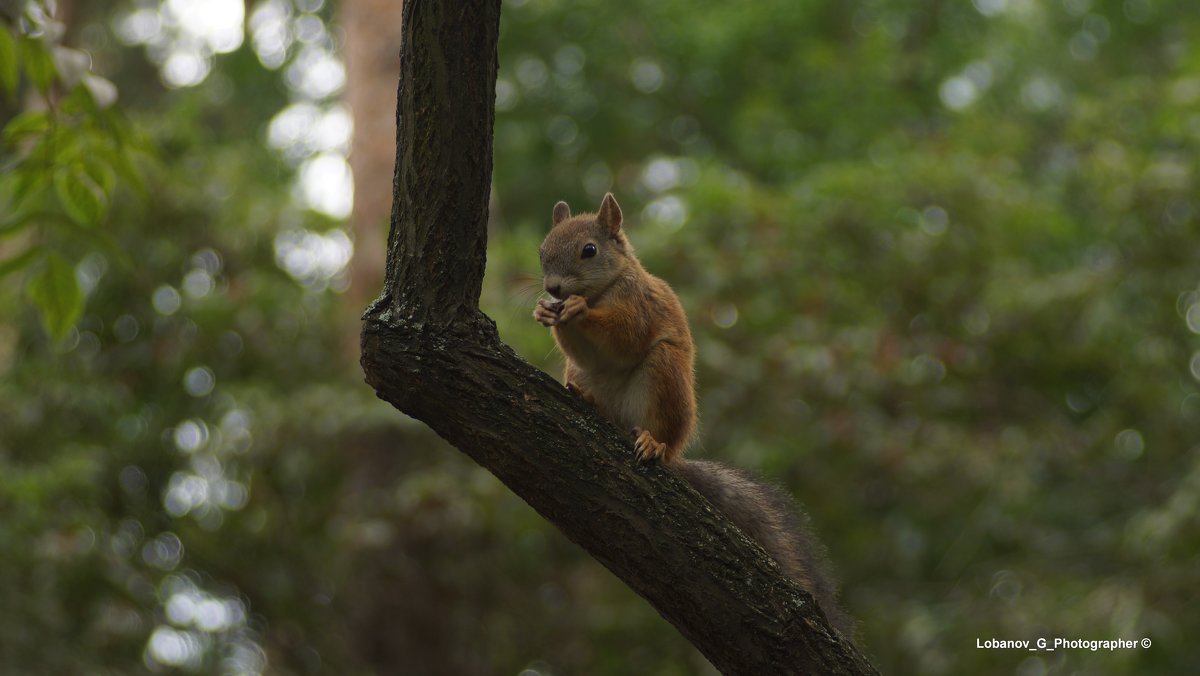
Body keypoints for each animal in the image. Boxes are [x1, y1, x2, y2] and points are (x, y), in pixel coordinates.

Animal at [535, 193, 854, 638]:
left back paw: (652, 442)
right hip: (587, 378)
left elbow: (624, 336)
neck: (606, 288)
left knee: (657, 425)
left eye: (589, 250)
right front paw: (546, 312)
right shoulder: (581, 349)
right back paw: (586, 398)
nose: (553, 288)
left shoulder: (641, 307)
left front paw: (577, 309)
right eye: (542, 251)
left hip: (664, 375)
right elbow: (581, 350)